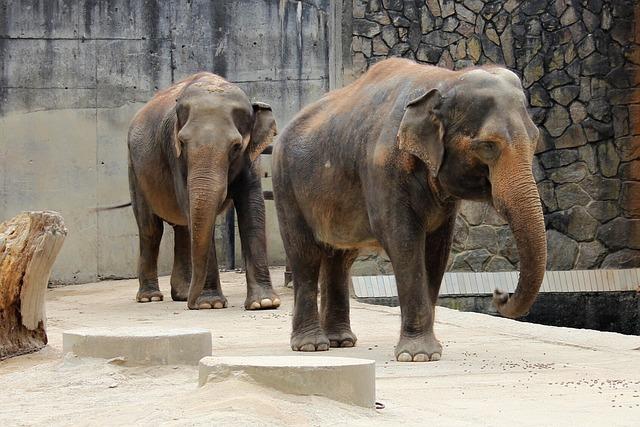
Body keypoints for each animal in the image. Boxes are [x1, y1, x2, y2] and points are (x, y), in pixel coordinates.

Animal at [127, 71, 280, 310]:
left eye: (236, 146)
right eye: (182, 142)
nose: (192, 305)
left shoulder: (250, 158)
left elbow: (253, 208)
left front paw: (264, 303)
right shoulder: (174, 155)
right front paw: (211, 304)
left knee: (182, 227)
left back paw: (181, 294)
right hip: (135, 170)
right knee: (150, 228)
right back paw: (150, 298)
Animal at [272, 58, 548, 362]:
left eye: (535, 140)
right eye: (487, 146)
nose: (499, 293)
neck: (445, 79)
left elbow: (437, 249)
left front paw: (429, 352)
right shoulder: (382, 169)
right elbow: (403, 241)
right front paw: (417, 356)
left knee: (340, 258)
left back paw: (340, 342)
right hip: (286, 186)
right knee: (304, 255)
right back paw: (311, 346)